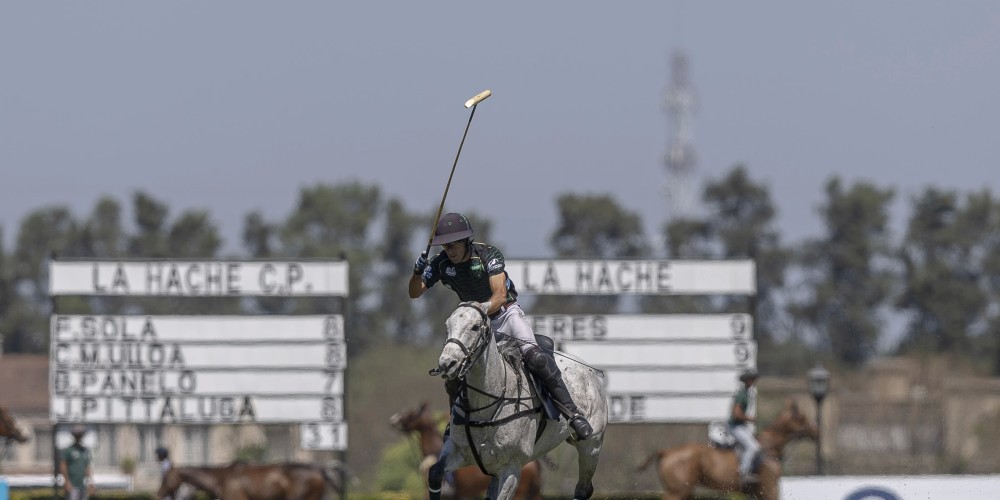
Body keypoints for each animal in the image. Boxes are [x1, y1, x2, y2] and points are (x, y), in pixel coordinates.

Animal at [432, 300, 608, 500]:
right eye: (447, 326)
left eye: (475, 327)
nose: (447, 364)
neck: (484, 407)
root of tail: (591, 372)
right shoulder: (459, 451)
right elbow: (435, 472)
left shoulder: (512, 466)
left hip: (591, 446)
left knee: (584, 488)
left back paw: (580, 423)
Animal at [640, 398, 820, 500]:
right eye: (802, 417)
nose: (816, 431)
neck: (770, 448)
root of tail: (667, 452)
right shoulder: (769, 489)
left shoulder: (758, 492)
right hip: (677, 492)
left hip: (684, 491)